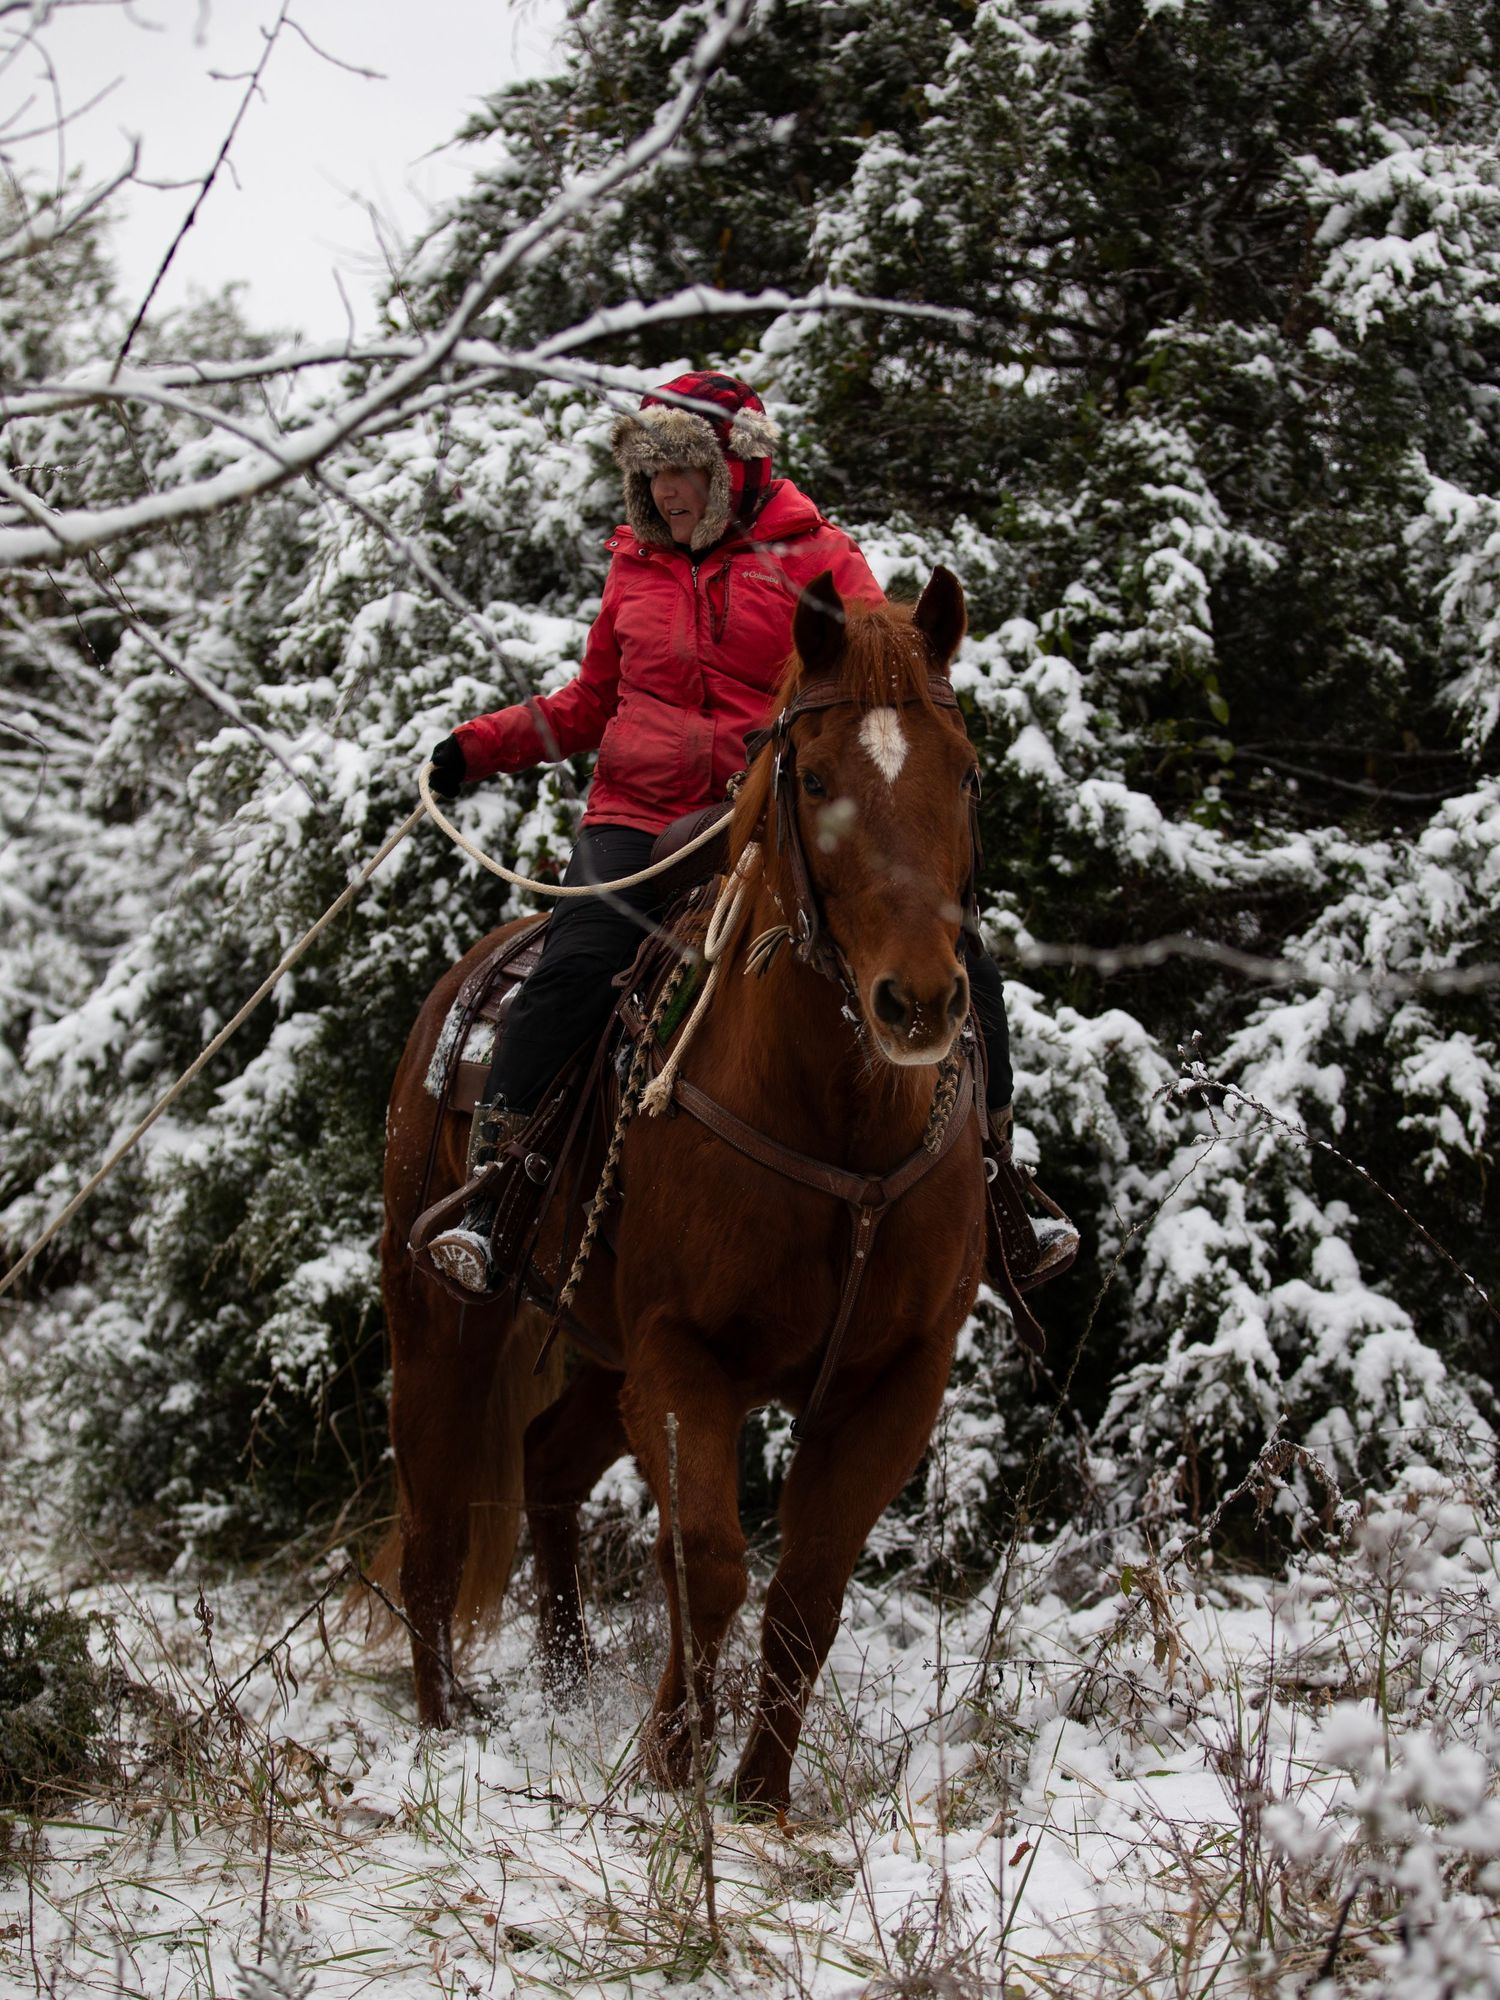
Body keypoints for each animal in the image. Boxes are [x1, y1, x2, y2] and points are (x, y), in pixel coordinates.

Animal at [378, 565, 987, 1812]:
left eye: (964, 770)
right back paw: (443, 1729)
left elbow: (806, 1593)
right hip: (444, 1326)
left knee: (548, 1470)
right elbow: (705, 1561)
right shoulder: (680, 1357)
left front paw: (757, 1796)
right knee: (430, 1536)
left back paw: (566, 1679)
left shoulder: (896, 1383)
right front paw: (669, 1763)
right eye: (814, 777)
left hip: (597, 1356)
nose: (915, 1002)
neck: (840, 1124)